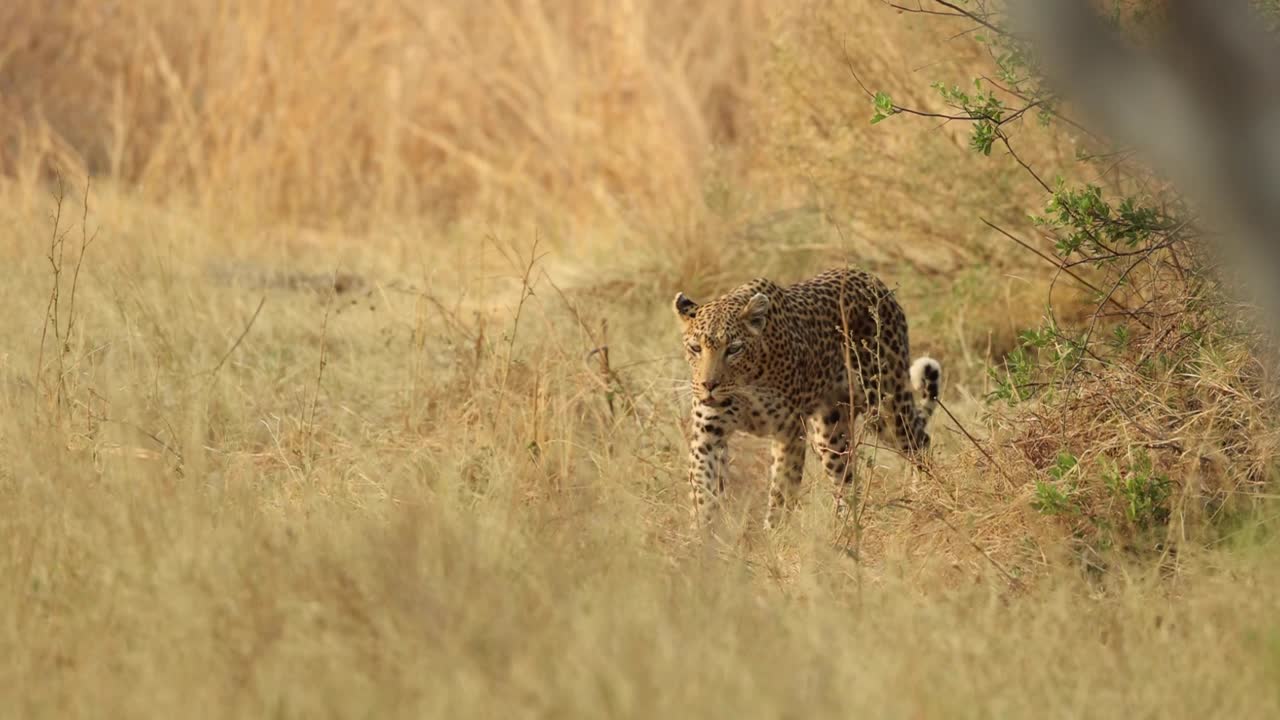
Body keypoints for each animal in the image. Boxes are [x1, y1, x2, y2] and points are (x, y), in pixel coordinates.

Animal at [672, 266, 942, 531]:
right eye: (695, 348)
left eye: (734, 349)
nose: (709, 385)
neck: (748, 381)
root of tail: (873, 280)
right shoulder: (708, 435)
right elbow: (703, 492)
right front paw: (702, 538)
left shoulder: (789, 432)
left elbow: (782, 492)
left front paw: (774, 537)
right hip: (831, 432)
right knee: (846, 475)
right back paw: (844, 524)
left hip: (886, 406)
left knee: (919, 441)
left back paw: (924, 495)